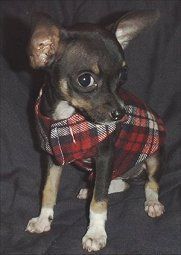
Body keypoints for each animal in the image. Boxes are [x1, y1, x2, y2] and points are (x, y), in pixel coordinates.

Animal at [25, 10, 165, 252]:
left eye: (123, 75)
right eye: (85, 80)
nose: (120, 114)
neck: (66, 116)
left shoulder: (105, 156)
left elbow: (99, 201)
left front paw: (96, 234)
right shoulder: (52, 157)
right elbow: (48, 189)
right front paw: (44, 219)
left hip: (154, 153)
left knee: (151, 182)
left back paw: (153, 202)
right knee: (120, 182)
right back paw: (97, 187)